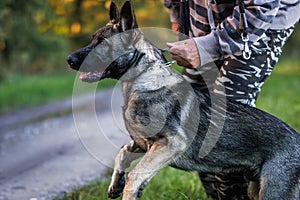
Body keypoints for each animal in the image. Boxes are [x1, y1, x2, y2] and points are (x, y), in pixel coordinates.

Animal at [67, 0, 298, 199]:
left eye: (102, 43)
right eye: (92, 39)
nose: (69, 60)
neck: (142, 76)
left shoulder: (171, 143)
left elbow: (135, 175)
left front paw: (129, 188)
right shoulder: (144, 143)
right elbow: (122, 152)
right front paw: (116, 183)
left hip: (273, 192)